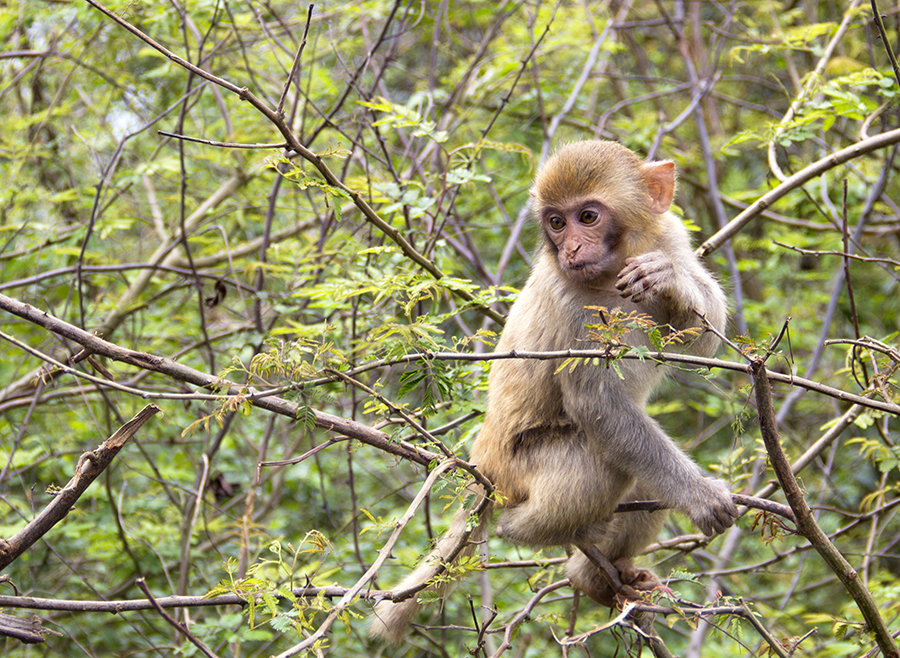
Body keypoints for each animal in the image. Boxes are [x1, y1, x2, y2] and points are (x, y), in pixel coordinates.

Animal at [368, 140, 740, 640]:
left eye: (588, 216)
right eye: (557, 223)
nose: (571, 248)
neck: (609, 276)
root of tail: (482, 462)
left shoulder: (670, 236)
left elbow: (701, 339)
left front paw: (670, 280)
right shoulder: (575, 310)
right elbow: (598, 405)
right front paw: (700, 496)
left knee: (644, 474)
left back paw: (597, 577)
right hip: (518, 467)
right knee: (602, 462)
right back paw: (528, 531)